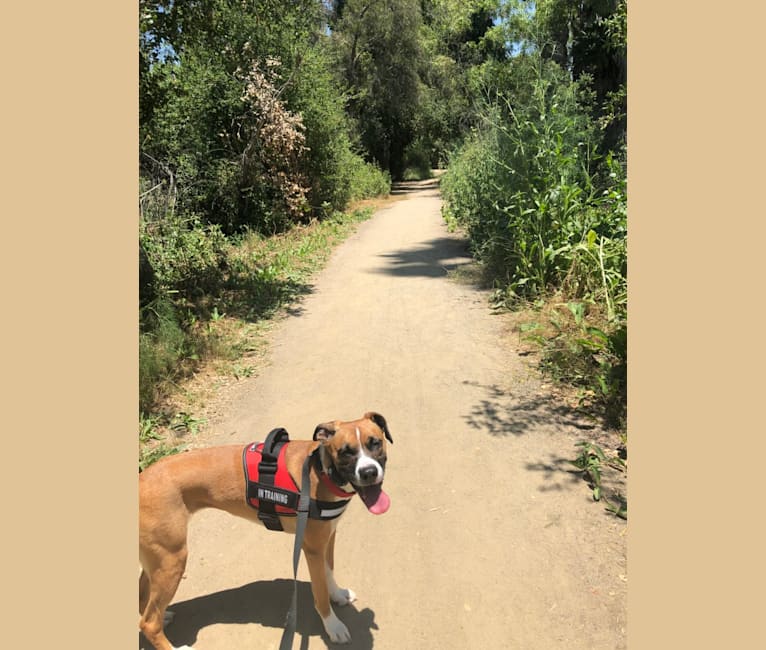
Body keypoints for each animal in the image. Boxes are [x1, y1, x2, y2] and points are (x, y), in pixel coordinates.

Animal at [138, 410, 392, 648]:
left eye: (375, 443)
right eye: (346, 452)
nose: (368, 472)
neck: (321, 471)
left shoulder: (329, 537)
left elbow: (329, 572)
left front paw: (338, 595)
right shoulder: (312, 550)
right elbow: (320, 593)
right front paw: (333, 626)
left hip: (157, 562)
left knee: (145, 603)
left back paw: (163, 616)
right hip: (172, 560)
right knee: (149, 622)